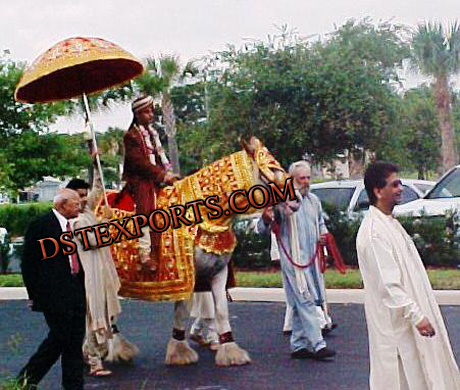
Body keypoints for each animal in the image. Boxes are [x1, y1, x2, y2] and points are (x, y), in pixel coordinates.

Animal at [99, 137, 290, 366]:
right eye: (270, 169)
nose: (295, 196)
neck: (204, 217)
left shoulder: (218, 273)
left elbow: (221, 311)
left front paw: (230, 351)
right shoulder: (187, 278)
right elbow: (182, 311)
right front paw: (180, 352)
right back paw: (117, 349)